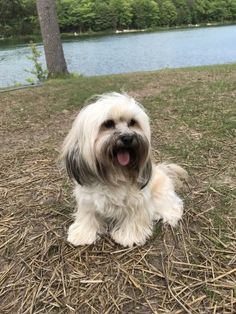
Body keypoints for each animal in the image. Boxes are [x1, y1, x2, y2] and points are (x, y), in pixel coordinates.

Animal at [61, 92, 187, 248]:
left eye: (132, 122)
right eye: (108, 124)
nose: (128, 137)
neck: (114, 174)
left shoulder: (137, 199)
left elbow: (133, 218)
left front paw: (129, 236)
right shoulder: (87, 200)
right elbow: (88, 215)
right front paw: (83, 234)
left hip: (161, 194)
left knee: (174, 206)